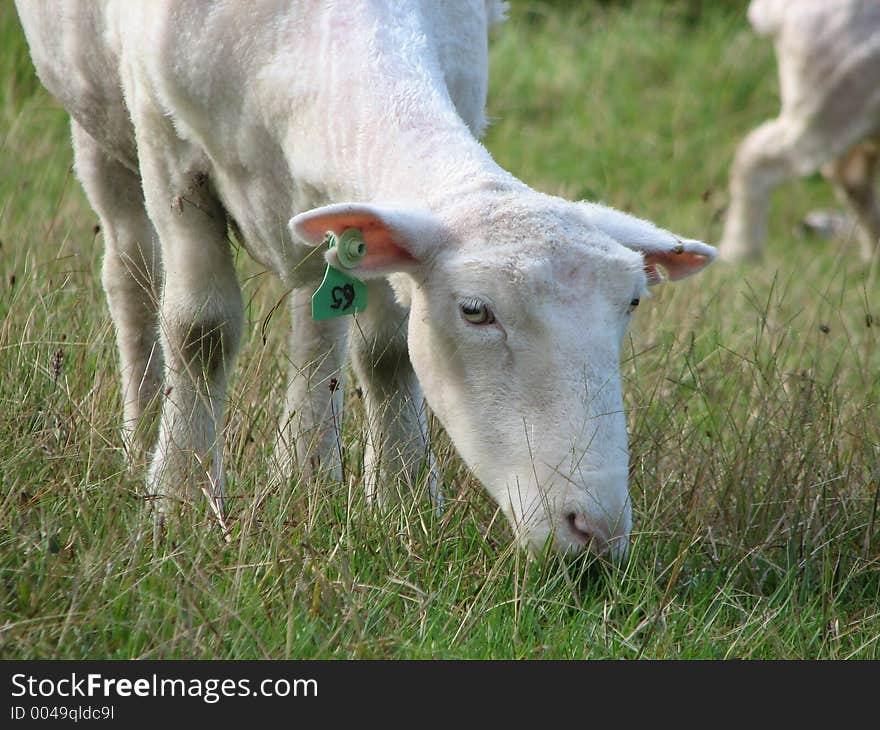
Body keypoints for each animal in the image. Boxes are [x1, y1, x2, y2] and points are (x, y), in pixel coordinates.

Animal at [12, 0, 716, 556]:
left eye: (632, 304)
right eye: (475, 310)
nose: (595, 533)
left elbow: (386, 353)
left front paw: (402, 501)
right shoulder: (169, 152)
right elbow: (200, 330)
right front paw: (179, 499)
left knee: (314, 314)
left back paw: (302, 474)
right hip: (99, 121)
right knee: (132, 275)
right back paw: (141, 440)